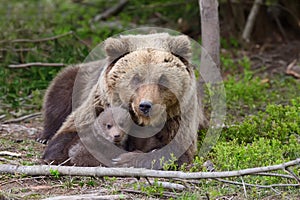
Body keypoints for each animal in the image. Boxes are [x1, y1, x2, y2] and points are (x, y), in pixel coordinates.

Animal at [41, 32, 207, 169]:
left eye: (162, 79)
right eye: (136, 78)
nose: (145, 106)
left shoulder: (178, 118)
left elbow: (176, 151)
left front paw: (126, 159)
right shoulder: (98, 105)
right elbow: (65, 138)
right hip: (79, 80)